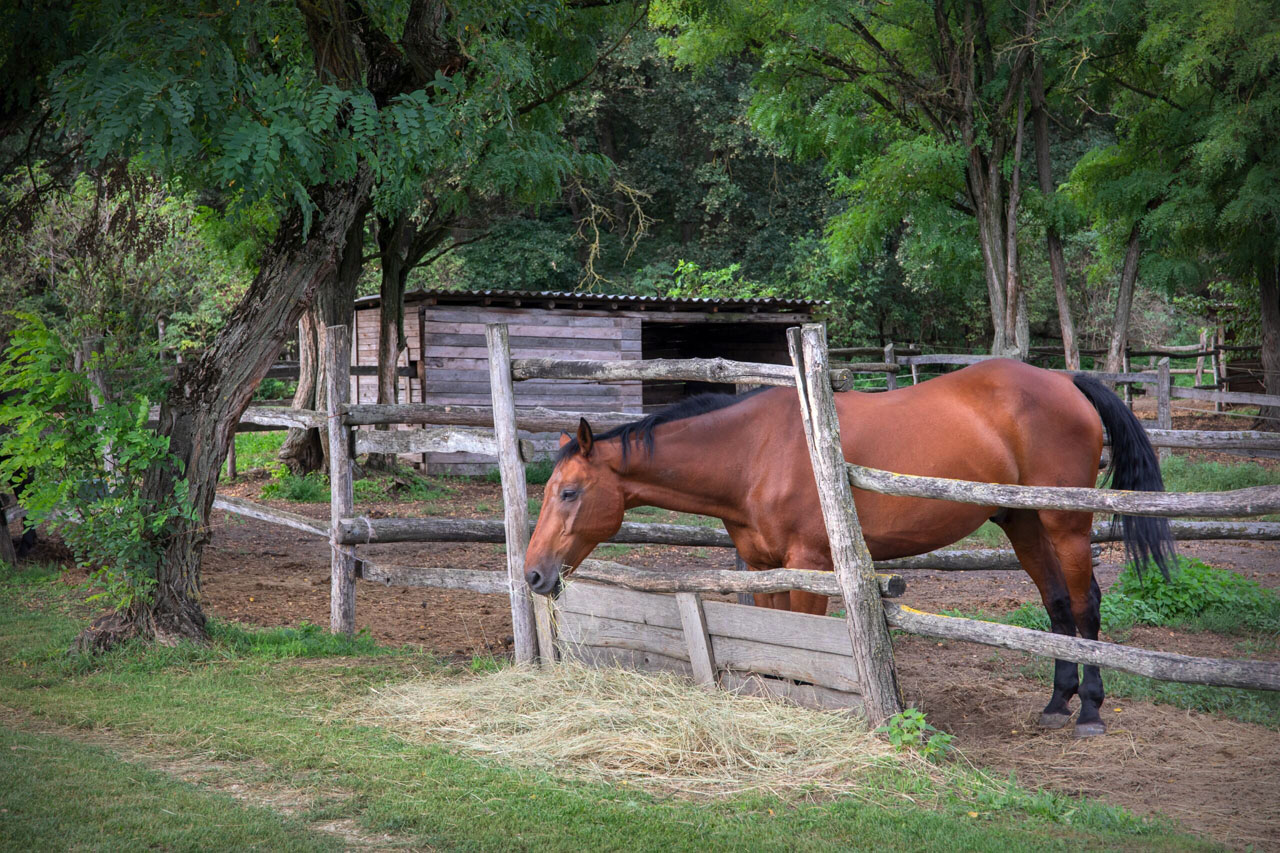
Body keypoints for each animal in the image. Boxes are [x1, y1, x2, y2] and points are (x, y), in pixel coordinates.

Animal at [522, 356, 1172, 732]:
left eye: (570, 492)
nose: (532, 574)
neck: (755, 451)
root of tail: (1065, 381)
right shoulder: (763, 568)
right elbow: (772, 639)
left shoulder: (810, 566)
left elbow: (805, 642)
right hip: (1023, 523)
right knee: (1057, 608)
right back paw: (1058, 703)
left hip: (1066, 525)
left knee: (1085, 609)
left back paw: (1090, 710)